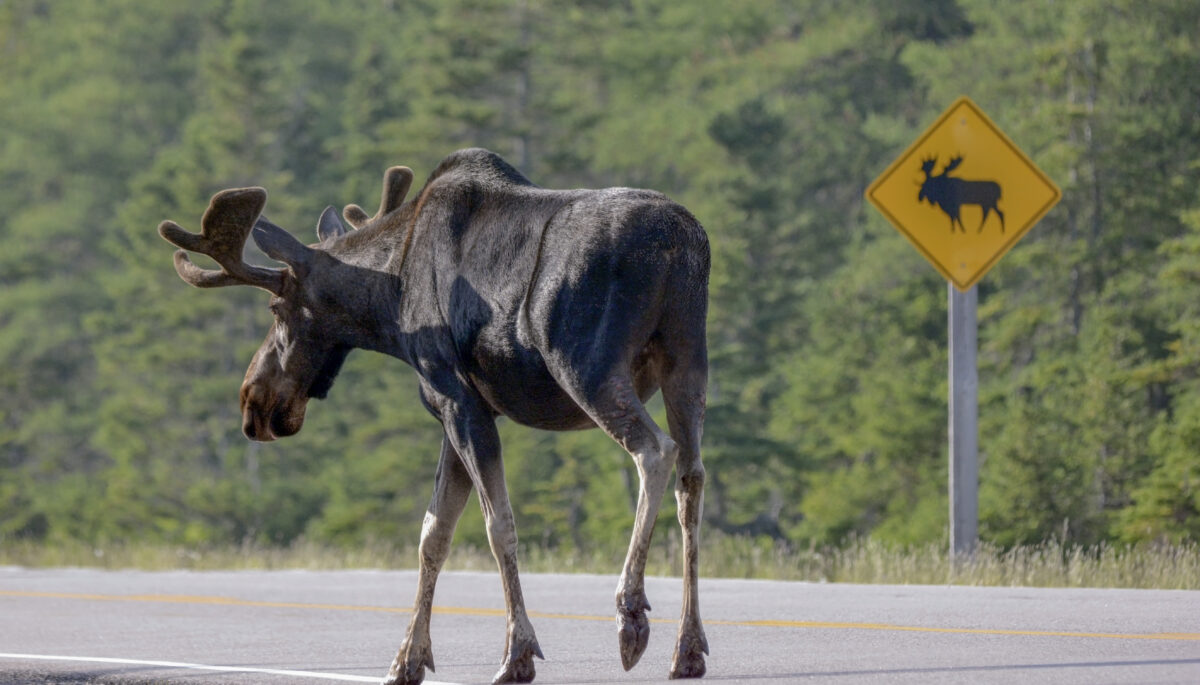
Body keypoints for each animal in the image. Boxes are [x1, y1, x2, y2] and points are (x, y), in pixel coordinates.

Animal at [158, 148, 711, 684]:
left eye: (276, 310)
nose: (253, 402)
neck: (390, 302)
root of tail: (683, 244)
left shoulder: (456, 398)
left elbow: (496, 525)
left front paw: (517, 653)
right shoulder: (459, 411)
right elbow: (434, 533)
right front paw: (408, 659)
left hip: (587, 364)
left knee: (654, 451)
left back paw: (630, 613)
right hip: (686, 362)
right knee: (692, 478)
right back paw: (688, 647)